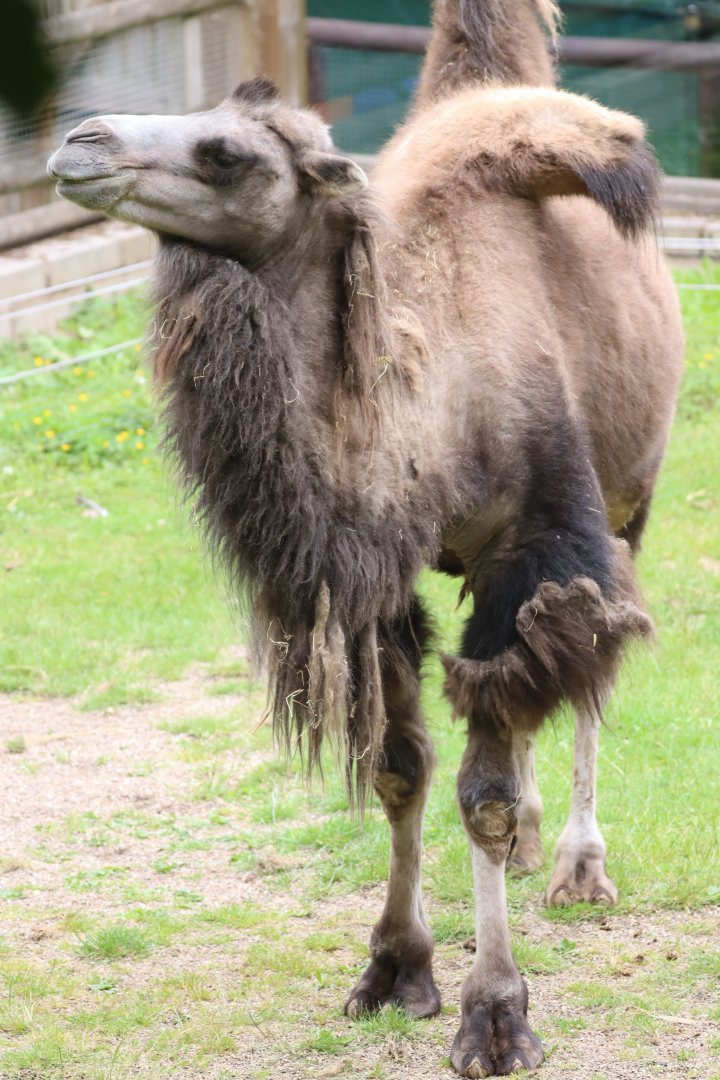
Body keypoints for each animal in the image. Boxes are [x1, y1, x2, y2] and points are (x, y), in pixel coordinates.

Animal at [48, 1, 684, 1074]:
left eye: (225, 152)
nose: (78, 141)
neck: (426, 410)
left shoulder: (538, 541)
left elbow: (481, 792)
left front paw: (496, 1015)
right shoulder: (375, 574)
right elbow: (400, 770)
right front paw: (393, 970)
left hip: (629, 497)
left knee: (595, 673)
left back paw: (578, 867)